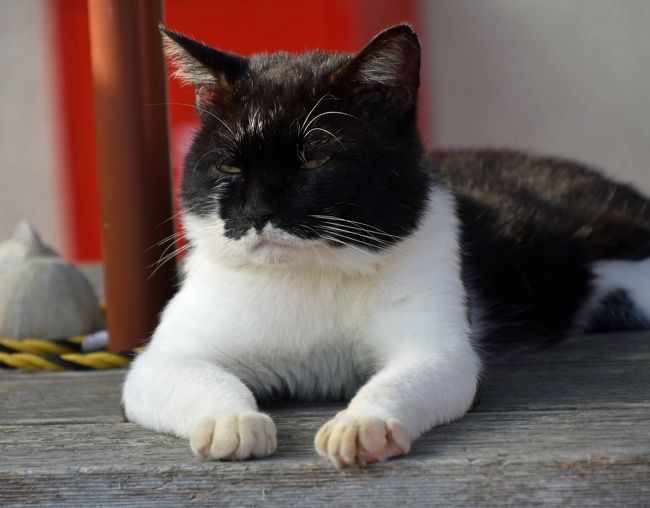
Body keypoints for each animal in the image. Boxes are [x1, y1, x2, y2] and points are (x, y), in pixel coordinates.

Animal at [121, 24, 648, 468]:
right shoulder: (164, 357)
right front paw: (231, 421)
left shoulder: (436, 346)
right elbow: (191, 375)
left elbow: (404, 378)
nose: (257, 213)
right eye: (229, 167)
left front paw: (360, 424)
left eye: (316, 160)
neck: (310, 273)